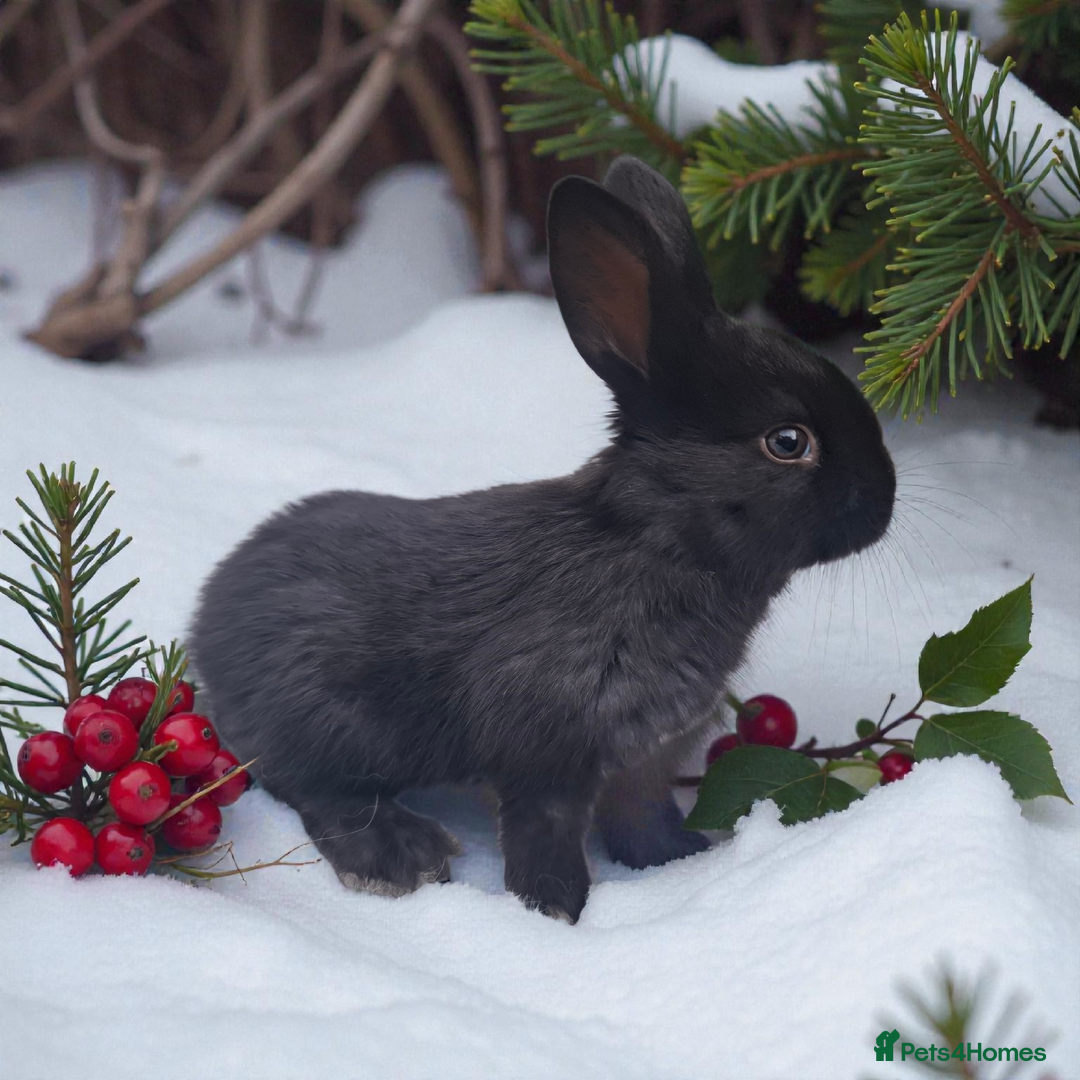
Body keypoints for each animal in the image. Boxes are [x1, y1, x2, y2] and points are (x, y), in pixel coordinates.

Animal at [189, 156, 896, 924]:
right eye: (788, 442)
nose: (884, 499)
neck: (655, 545)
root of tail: (208, 620)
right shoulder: (546, 752)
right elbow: (544, 836)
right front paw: (555, 914)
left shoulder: (643, 762)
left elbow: (642, 820)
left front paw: (679, 863)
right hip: (331, 718)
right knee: (310, 784)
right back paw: (399, 856)